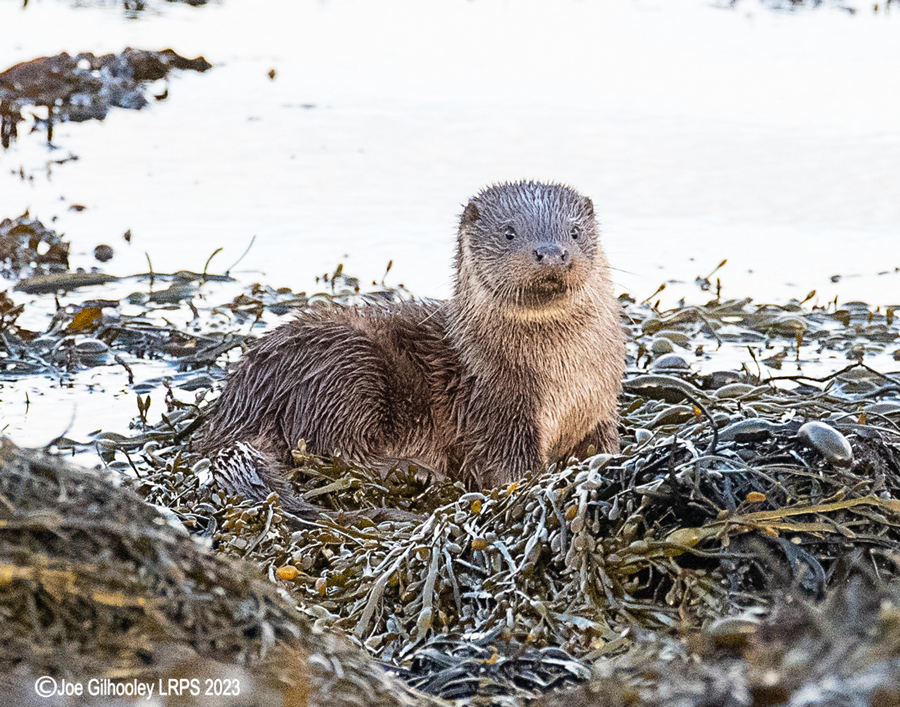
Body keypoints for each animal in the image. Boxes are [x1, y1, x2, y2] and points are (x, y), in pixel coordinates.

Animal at [200, 181, 624, 508]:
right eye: (509, 232)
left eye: (574, 232)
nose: (551, 252)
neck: (565, 376)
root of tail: (241, 400)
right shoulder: (495, 405)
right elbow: (507, 467)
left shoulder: (600, 409)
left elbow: (605, 448)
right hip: (345, 369)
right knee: (336, 451)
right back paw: (418, 472)